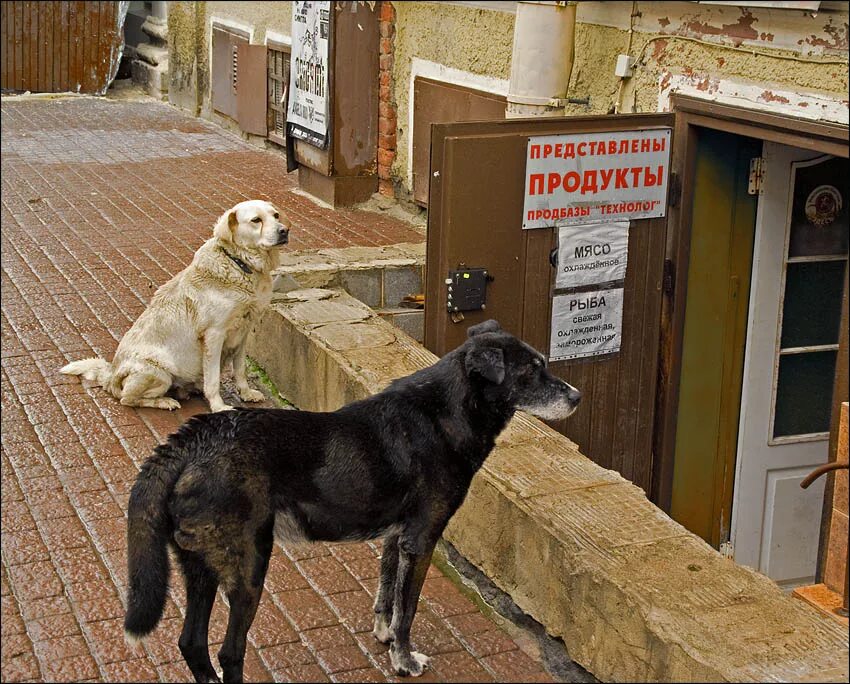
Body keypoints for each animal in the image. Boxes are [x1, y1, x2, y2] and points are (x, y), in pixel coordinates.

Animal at [61, 199, 290, 412]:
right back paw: (165, 401)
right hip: (159, 372)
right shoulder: (214, 335)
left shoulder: (243, 332)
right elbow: (213, 379)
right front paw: (218, 406)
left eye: (276, 215)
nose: (284, 231)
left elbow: (240, 369)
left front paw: (246, 393)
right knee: (128, 399)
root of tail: (111, 375)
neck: (240, 264)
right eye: (256, 220)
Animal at [122, 320, 580, 680]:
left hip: (201, 567)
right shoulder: (421, 539)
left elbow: (386, 596)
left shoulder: (396, 538)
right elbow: (408, 612)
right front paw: (403, 660)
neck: (447, 412)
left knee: (192, 645)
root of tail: (193, 439)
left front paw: (383, 636)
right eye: (532, 371)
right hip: (248, 568)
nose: (576, 396)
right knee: (229, 652)